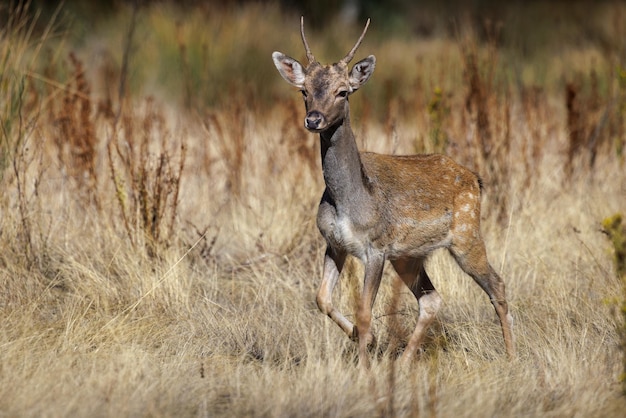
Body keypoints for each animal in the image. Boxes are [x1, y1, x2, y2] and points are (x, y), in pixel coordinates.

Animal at [270, 18, 516, 368]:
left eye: (343, 91)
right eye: (304, 91)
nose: (313, 119)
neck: (348, 200)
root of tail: (476, 179)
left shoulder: (376, 248)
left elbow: (363, 310)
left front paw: (365, 359)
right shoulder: (334, 242)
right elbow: (321, 298)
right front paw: (365, 339)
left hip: (467, 235)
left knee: (496, 284)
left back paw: (511, 355)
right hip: (409, 256)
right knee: (431, 299)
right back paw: (403, 361)